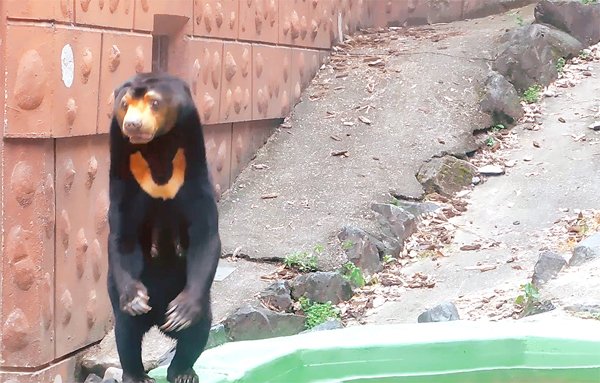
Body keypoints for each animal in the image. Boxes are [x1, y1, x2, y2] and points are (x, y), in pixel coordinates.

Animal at [107, 72, 220, 383]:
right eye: (124, 104)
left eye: (154, 103)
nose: (132, 124)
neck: (156, 151)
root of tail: (157, 319)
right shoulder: (125, 181)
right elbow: (122, 238)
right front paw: (135, 300)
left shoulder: (194, 174)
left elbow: (205, 236)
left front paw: (181, 312)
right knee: (126, 331)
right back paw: (136, 374)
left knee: (199, 327)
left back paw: (182, 370)